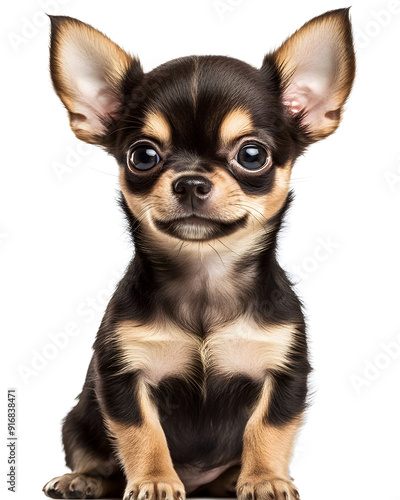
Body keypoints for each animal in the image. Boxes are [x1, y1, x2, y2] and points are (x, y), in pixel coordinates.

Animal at [43, 9, 354, 500]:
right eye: (143, 156)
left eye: (252, 155)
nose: (190, 181)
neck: (206, 272)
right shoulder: (122, 376)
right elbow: (142, 432)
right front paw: (154, 479)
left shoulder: (285, 373)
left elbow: (268, 428)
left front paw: (265, 478)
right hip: (78, 419)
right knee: (94, 455)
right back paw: (83, 479)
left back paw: (232, 480)